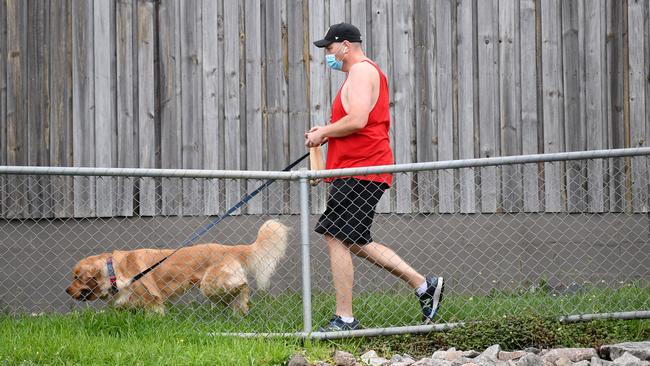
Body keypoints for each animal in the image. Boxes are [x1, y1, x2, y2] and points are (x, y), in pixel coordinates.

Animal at [66, 220, 288, 314]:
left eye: (77, 277)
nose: (67, 290)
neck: (113, 272)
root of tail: (230, 248)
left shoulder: (152, 299)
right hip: (215, 291)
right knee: (237, 298)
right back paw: (240, 312)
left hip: (211, 284)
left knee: (242, 285)